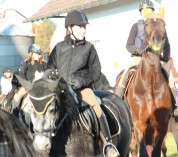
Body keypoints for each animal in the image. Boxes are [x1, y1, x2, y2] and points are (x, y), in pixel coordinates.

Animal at [114, 5, 172, 157]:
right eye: (147, 24)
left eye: (164, 25)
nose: (158, 40)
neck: (150, 84)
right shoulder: (139, 124)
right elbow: (143, 152)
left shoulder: (162, 126)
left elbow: (156, 151)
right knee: (133, 148)